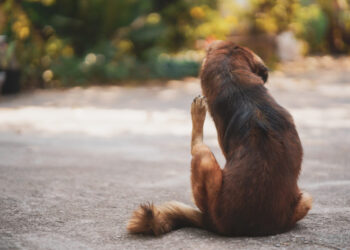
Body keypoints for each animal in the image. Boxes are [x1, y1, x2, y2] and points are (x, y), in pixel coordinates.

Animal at [127, 40, 314, 236]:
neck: (238, 84)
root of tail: (214, 223)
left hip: (204, 160)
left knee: (197, 147)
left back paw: (198, 112)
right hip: (305, 199)